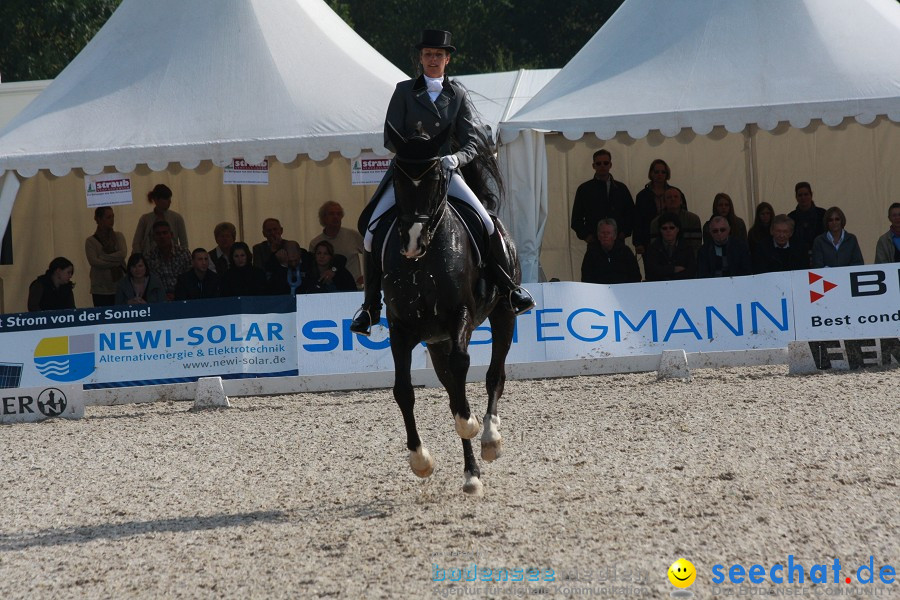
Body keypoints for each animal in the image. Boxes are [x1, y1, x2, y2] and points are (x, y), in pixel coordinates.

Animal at [382, 124, 520, 494]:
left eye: (436, 178)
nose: (412, 241)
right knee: (452, 389)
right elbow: (403, 391)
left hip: (504, 313)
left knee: (493, 375)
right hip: (436, 341)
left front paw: (471, 424)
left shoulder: (461, 315)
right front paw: (420, 460)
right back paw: (471, 472)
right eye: (397, 178)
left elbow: (464, 368)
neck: (422, 265)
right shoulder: (400, 329)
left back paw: (489, 436)